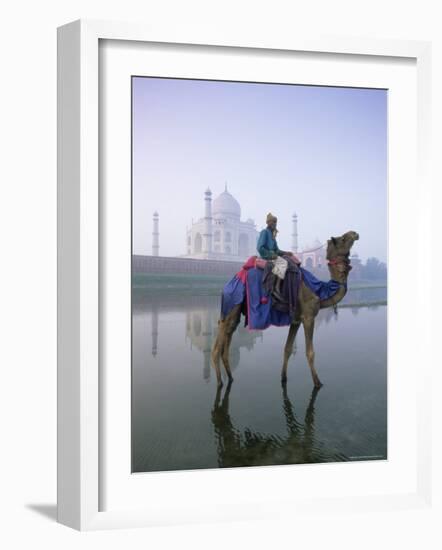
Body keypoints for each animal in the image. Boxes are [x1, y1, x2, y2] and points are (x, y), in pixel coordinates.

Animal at [211, 231, 360, 390]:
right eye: (343, 238)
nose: (355, 234)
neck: (319, 290)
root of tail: (227, 284)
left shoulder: (296, 320)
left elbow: (287, 349)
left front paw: (283, 378)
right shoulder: (308, 317)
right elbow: (310, 352)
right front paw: (318, 383)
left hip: (235, 308)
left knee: (229, 335)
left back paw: (230, 378)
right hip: (232, 302)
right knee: (217, 346)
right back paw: (219, 382)